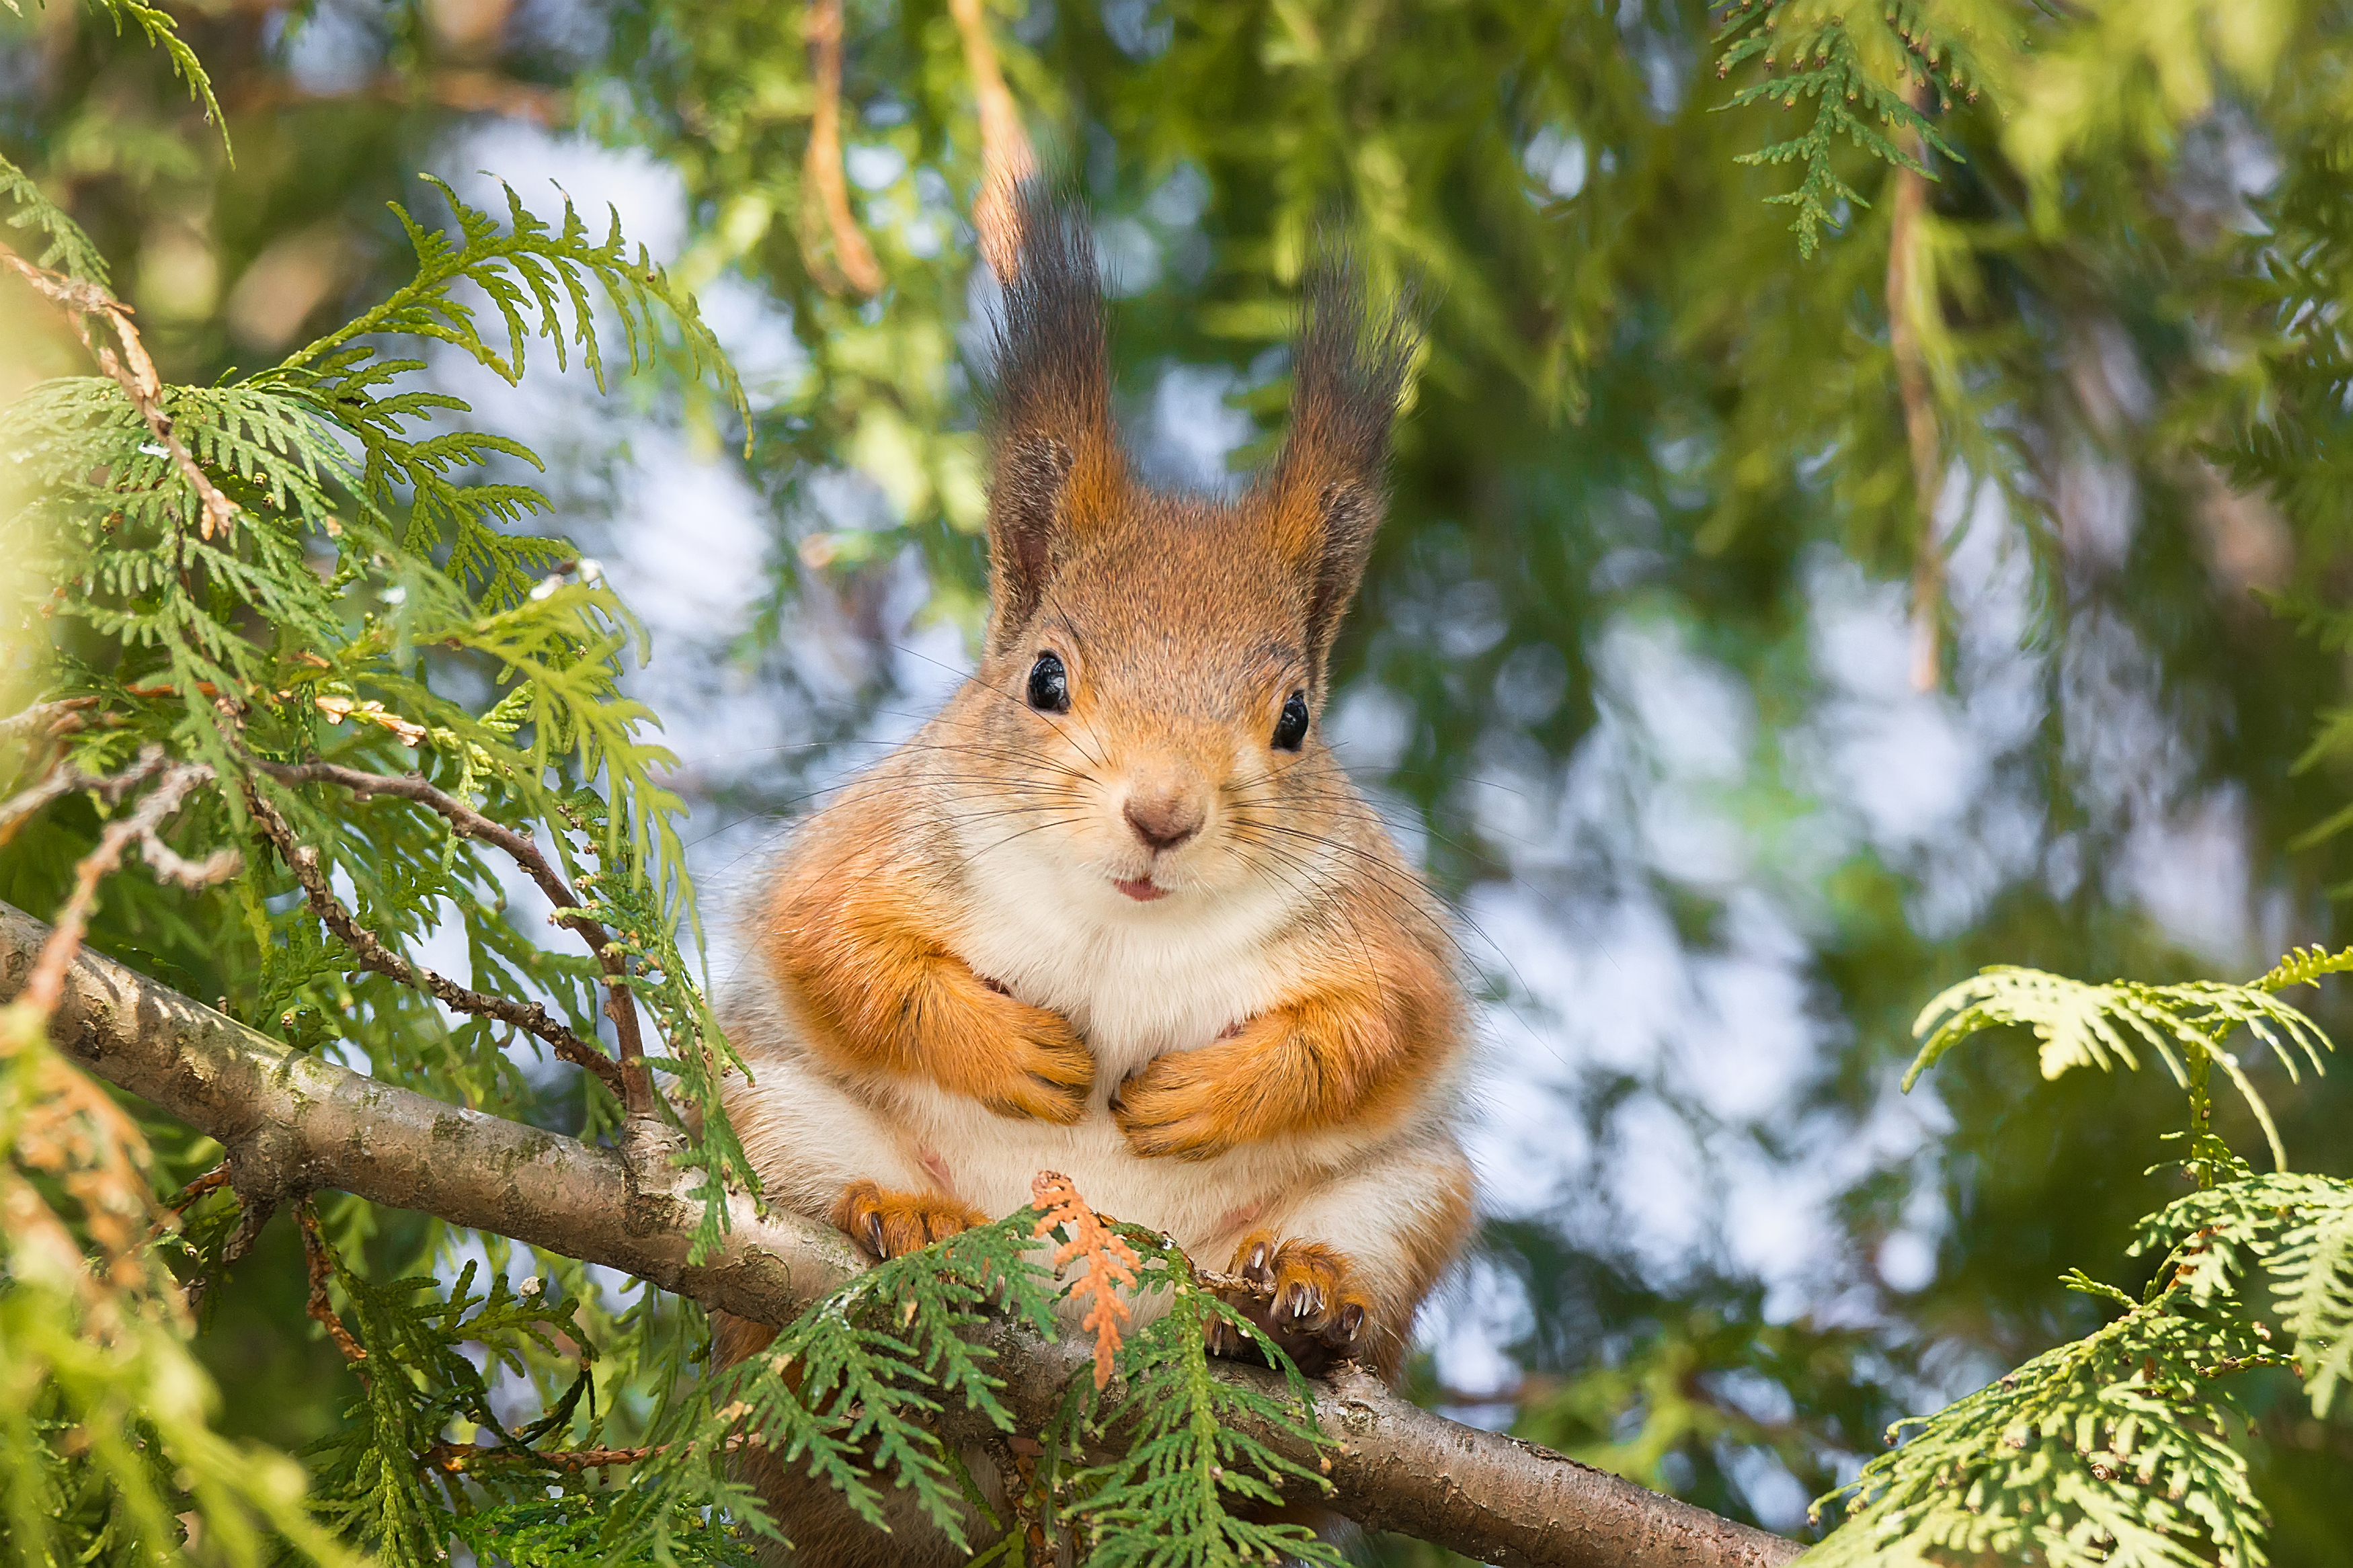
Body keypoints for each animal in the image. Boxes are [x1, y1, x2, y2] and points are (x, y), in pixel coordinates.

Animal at [706, 190, 1468, 1561]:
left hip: (1413, 1195)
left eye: (1295, 718)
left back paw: (1298, 1293)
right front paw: (1015, 1051)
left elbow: (1381, 1027)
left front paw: (1207, 1093)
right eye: (1045, 678)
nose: (1162, 814)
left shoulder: (1378, 925)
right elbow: (837, 954)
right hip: (762, 1122)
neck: (1122, 922)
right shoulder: (877, 846)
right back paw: (902, 1220)